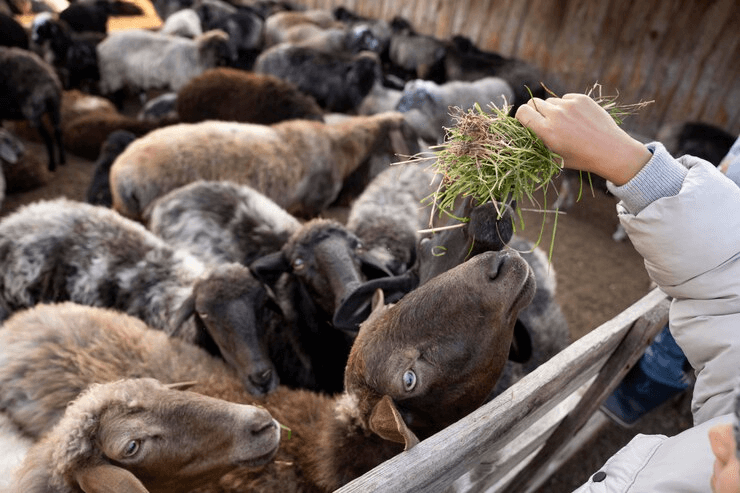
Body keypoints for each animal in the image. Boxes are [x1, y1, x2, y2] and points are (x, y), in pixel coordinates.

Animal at [96, 28, 235, 103]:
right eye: (221, 46)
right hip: (113, 74)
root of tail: (102, 46)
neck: (197, 57)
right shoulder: (179, 83)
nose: (233, 58)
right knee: (116, 95)